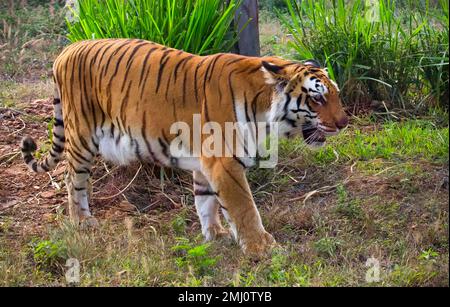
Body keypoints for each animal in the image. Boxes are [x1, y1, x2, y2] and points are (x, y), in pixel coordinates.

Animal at [19, 39, 348, 260]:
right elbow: (244, 208)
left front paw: (215, 235)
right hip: (82, 137)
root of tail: (66, 49)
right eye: (317, 98)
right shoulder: (225, 162)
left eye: (336, 95)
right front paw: (262, 247)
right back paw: (82, 221)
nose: (344, 122)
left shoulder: (207, 163)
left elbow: (207, 203)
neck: (264, 107)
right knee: (72, 180)